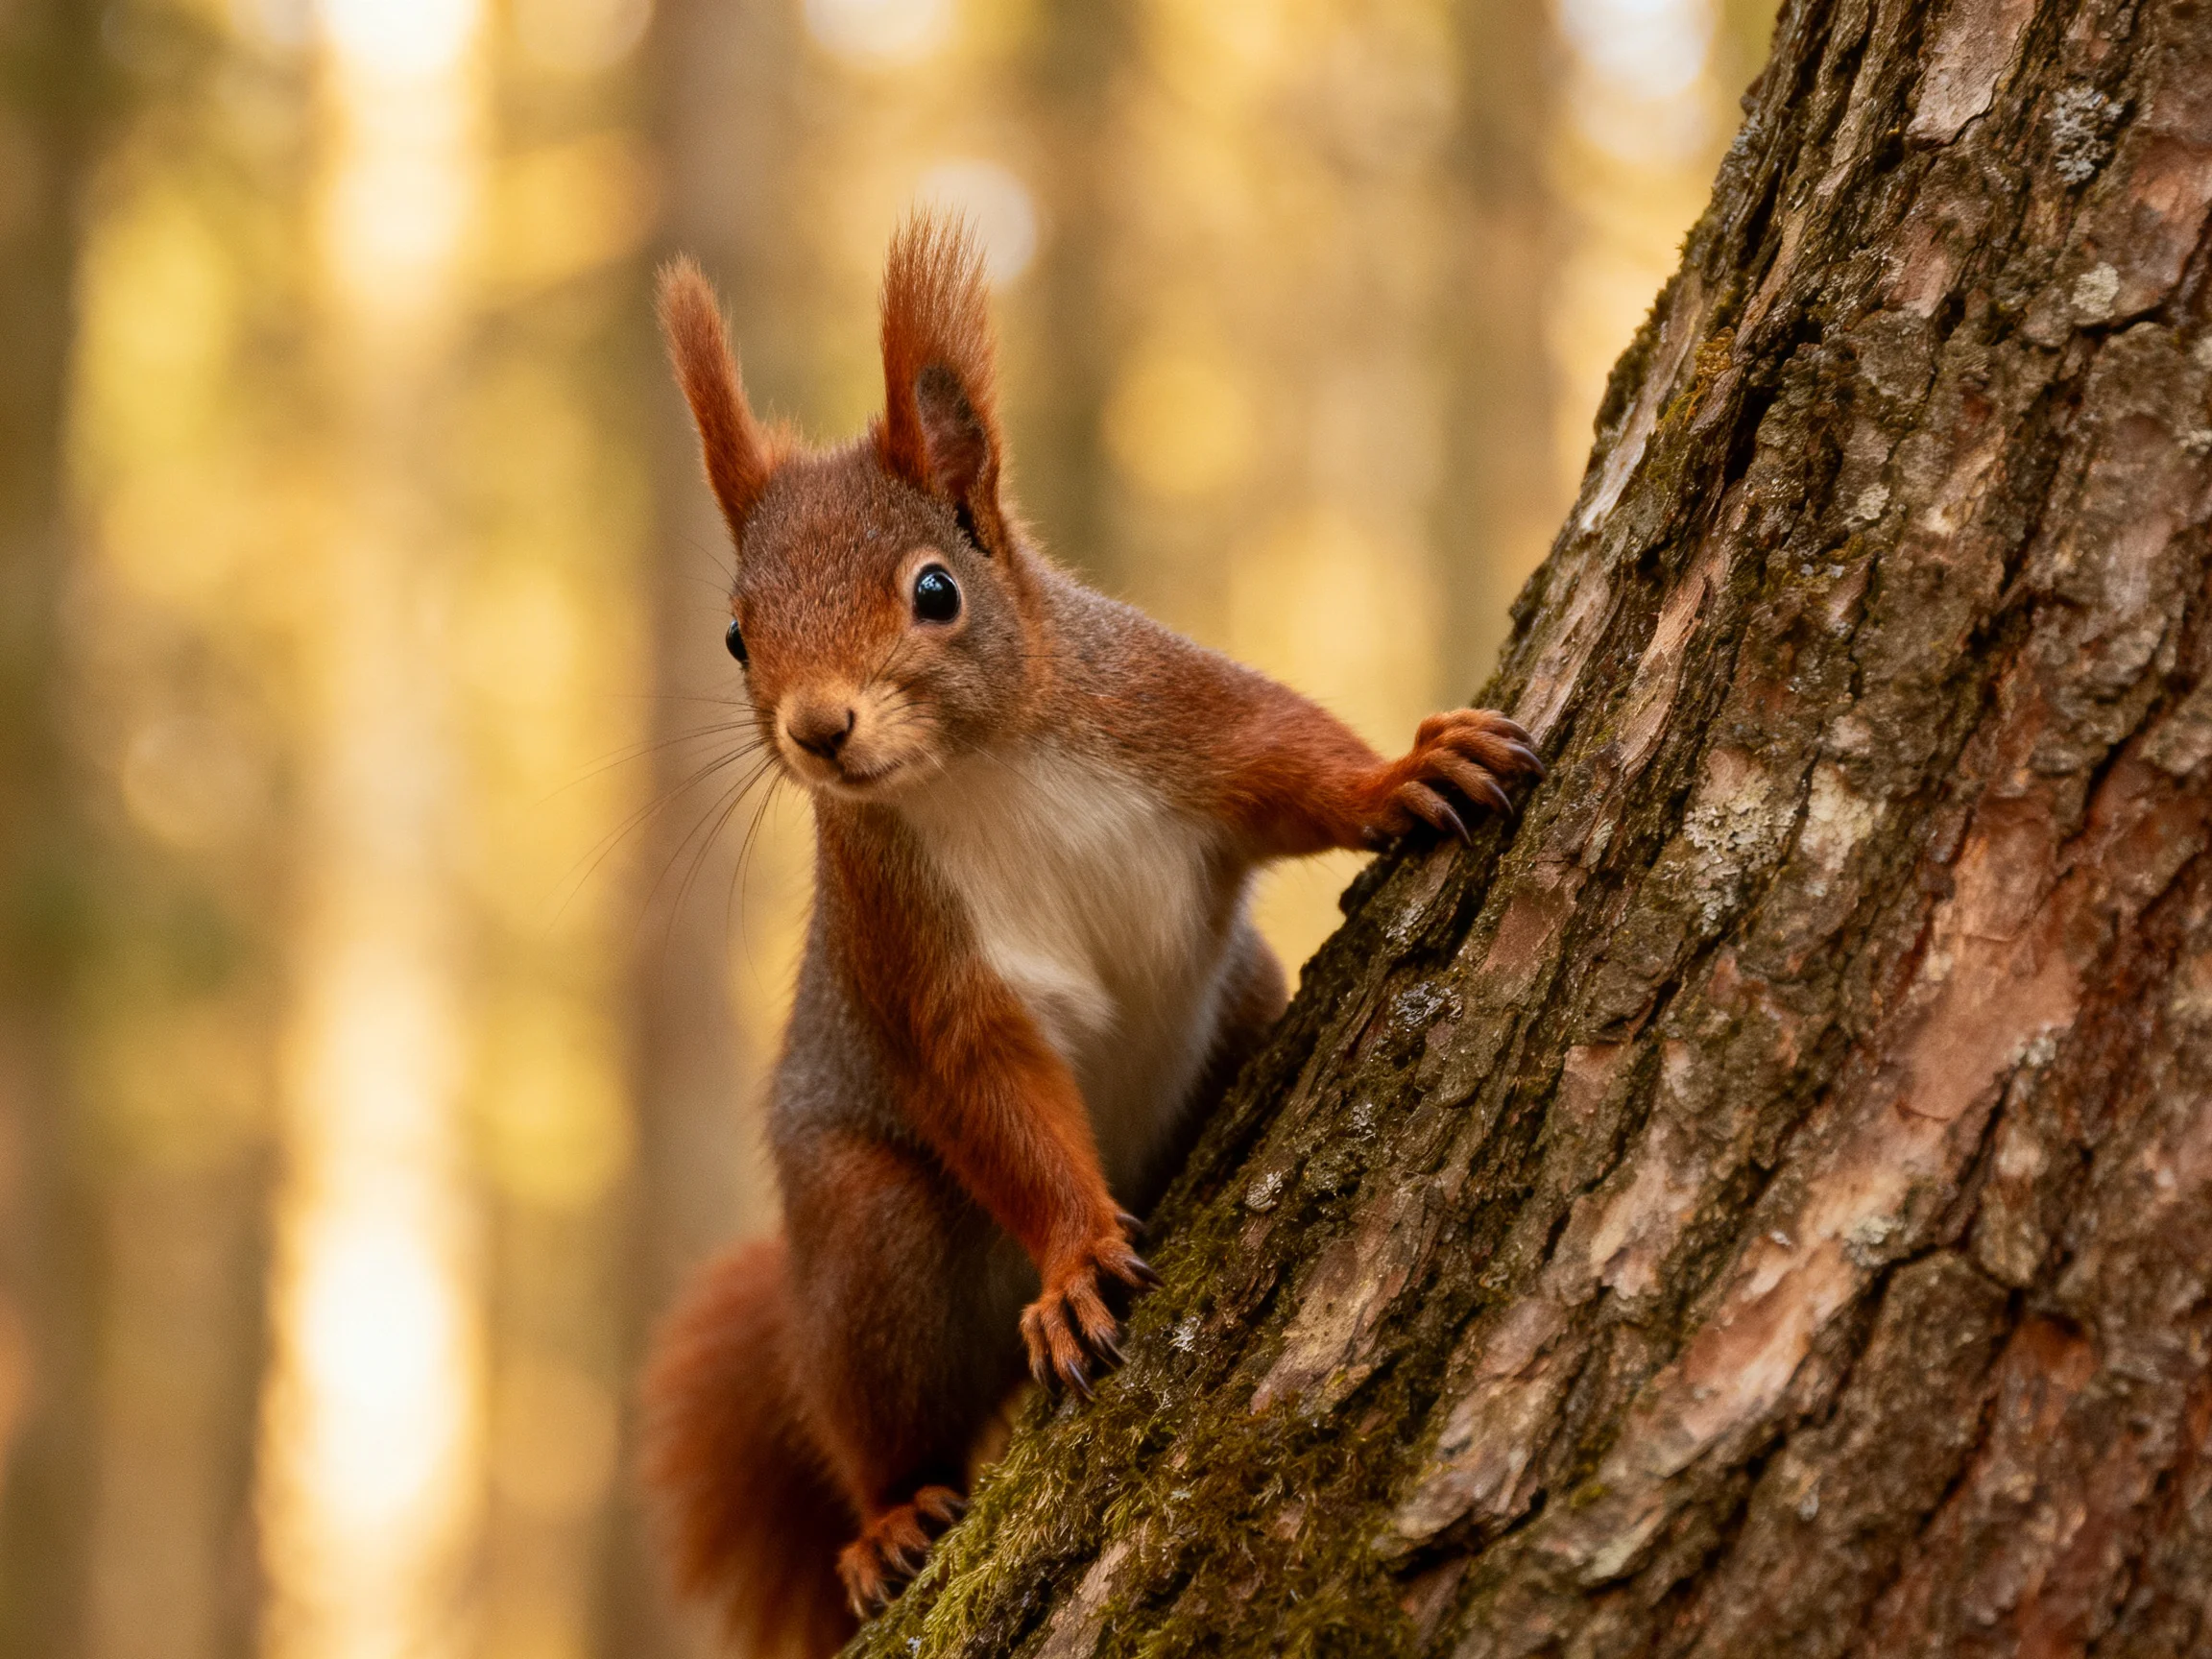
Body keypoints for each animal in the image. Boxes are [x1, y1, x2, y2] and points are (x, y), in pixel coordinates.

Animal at [640, 213, 1543, 1656]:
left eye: (936, 589)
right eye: (736, 635)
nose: (820, 730)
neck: (978, 764)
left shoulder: (1168, 702)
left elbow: (1286, 756)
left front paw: (1401, 776)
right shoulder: (910, 942)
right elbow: (988, 1091)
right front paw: (1072, 1265)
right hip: (863, 1232)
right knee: (872, 1410)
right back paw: (887, 1524)